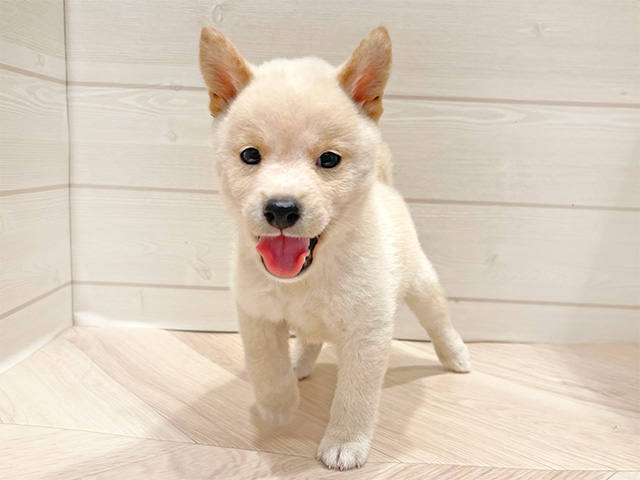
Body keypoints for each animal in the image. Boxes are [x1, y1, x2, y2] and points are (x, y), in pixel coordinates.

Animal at [199, 25, 470, 468]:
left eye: (329, 160)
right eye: (250, 155)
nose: (281, 209)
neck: (308, 278)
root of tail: (386, 185)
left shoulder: (367, 333)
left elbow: (355, 396)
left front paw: (345, 442)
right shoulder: (257, 315)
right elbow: (265, 368)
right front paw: (278, 405)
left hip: (421, 284)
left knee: (439, 321)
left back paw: (456, 356)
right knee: (309, 339)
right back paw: (298, 365)